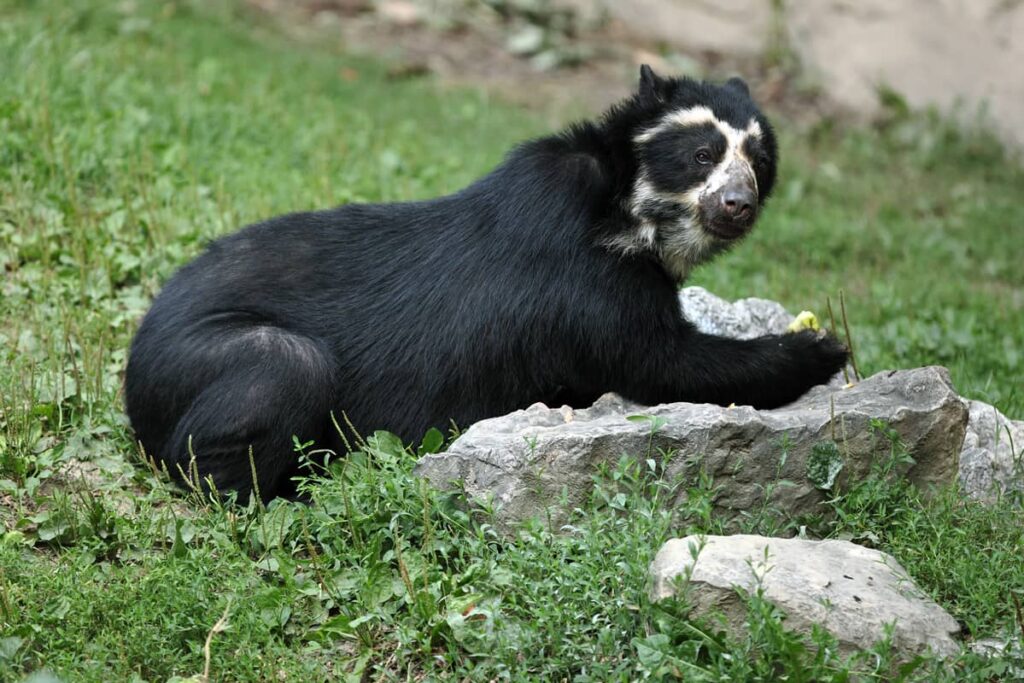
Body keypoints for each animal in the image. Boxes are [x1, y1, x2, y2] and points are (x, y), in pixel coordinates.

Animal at [124, 66, 848, 502]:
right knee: (276, 377)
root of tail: (135, 371)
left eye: (759, 161)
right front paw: (819, 349)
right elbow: (663, 361)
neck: (623, 211)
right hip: (209, 360)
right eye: (702, 155)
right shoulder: (583, 279)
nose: (738, 204)